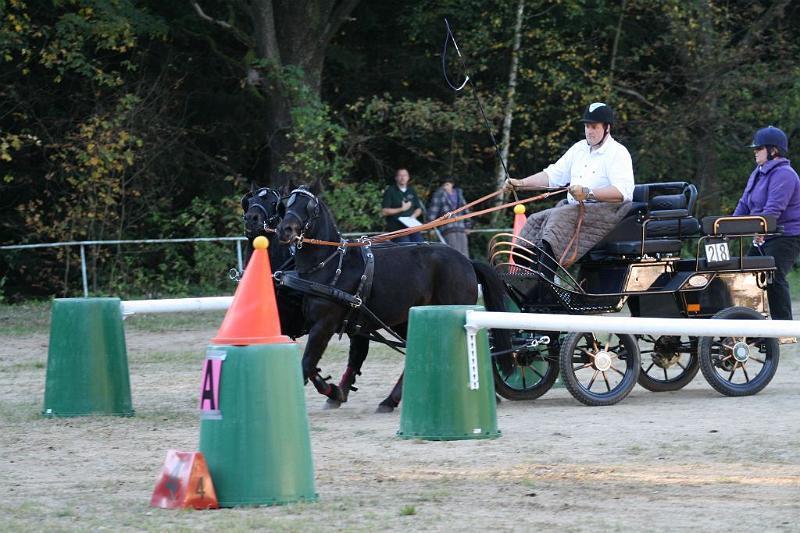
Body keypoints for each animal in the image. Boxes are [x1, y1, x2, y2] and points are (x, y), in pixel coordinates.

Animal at [278, 186, 510, 412]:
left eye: (309, 207)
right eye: (287, 204)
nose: (284, 230)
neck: (331, 265)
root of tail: (467, 262)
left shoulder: (324, 325)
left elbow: (307, 364)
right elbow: (313, 365)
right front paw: (334, 391)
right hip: (407, 320)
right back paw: (392, 400)